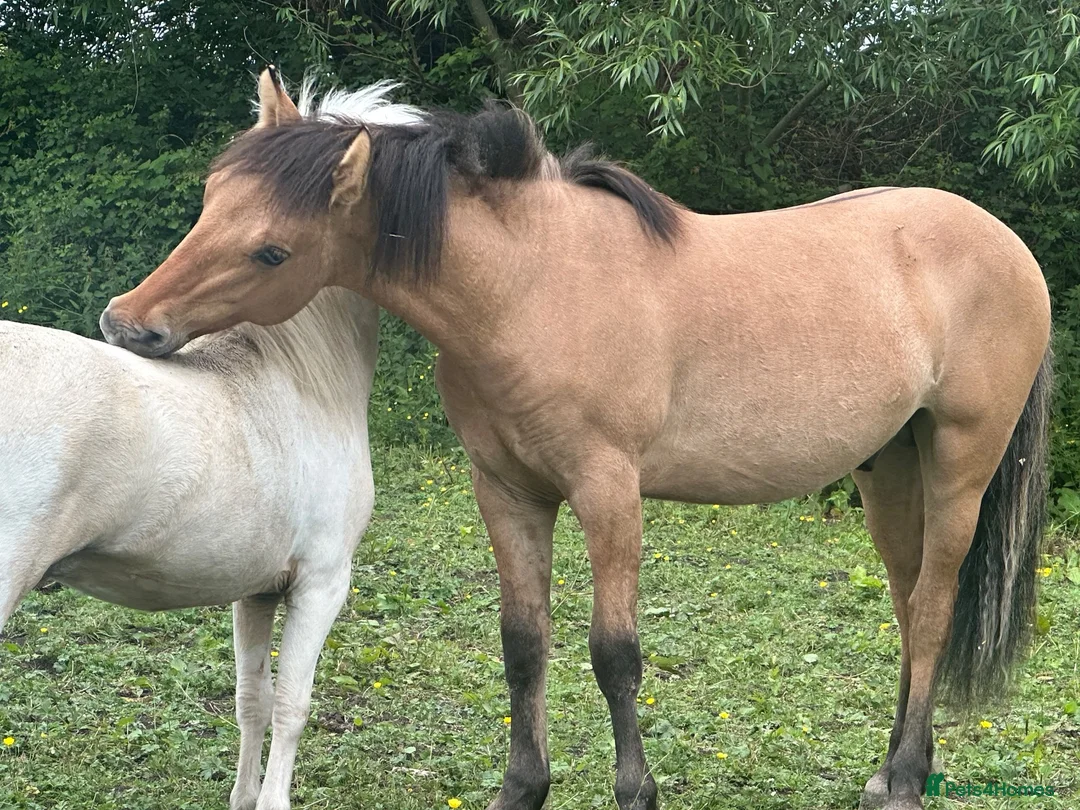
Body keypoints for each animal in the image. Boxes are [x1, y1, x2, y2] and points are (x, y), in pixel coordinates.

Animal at [100, 68, 1053, 810]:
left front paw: (636, 790)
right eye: (209, 202)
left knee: (932, 610)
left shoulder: (607, 489)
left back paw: (902, 780)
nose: (126, 324)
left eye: (270, 250)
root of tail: (1007, 243)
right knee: (907, 605)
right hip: (889, 469)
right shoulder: (506, 490)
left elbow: (614, 654)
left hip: (959, 465)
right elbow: (524, 645)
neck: (531, 284)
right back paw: (896, 769)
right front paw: (522, 787)